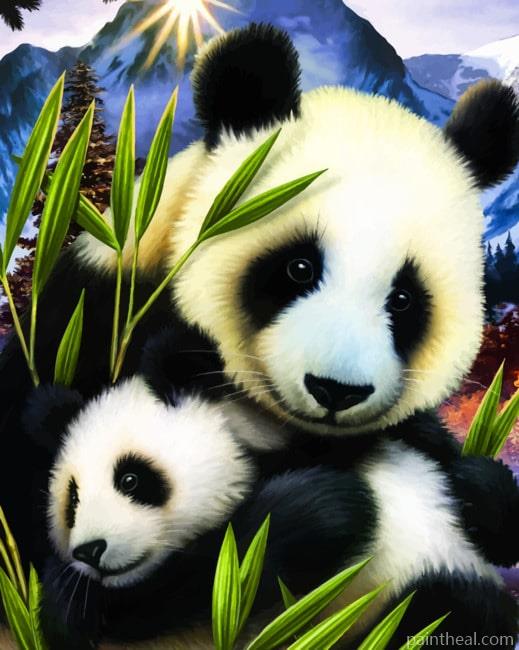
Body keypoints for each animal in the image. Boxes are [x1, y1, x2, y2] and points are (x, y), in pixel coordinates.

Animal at [1, 21, 519, 646]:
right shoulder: (91, 311)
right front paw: (320, 510)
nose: (336, 391)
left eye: (404, 299)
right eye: (298, 267)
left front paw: (476, 486)